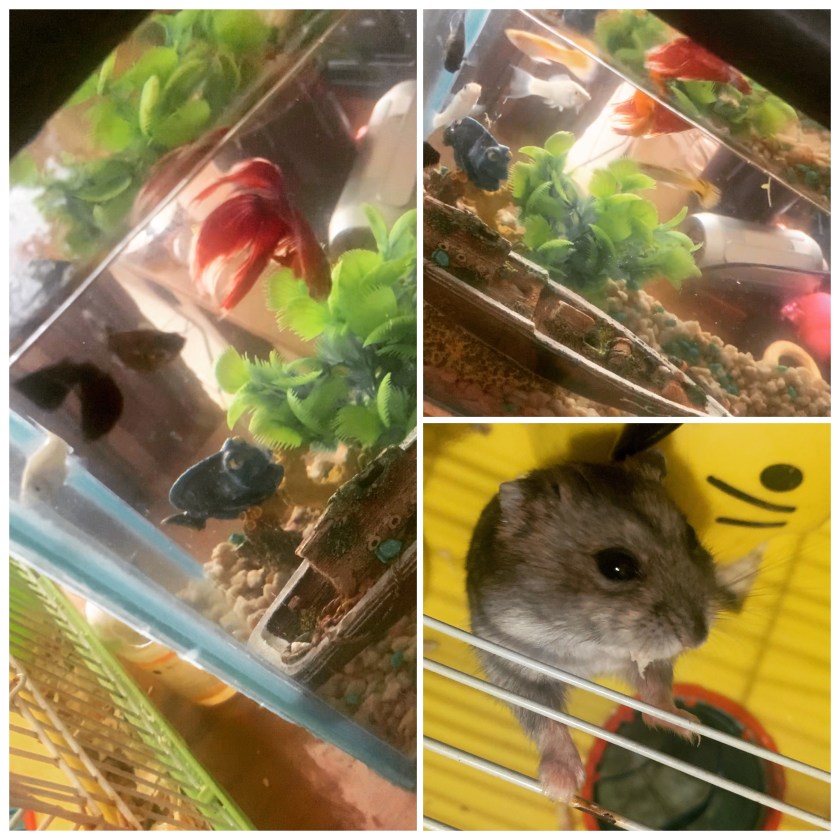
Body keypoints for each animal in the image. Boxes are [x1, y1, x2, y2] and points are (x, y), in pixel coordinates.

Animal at [466, 450, 749, 803]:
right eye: (616, 566)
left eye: (692, 536)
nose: (696, 639)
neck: (593, 646)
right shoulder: (513, 665)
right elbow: (546, 721)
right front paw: (560, 789)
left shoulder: (649, 660)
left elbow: (657, 695)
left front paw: (690, 727)